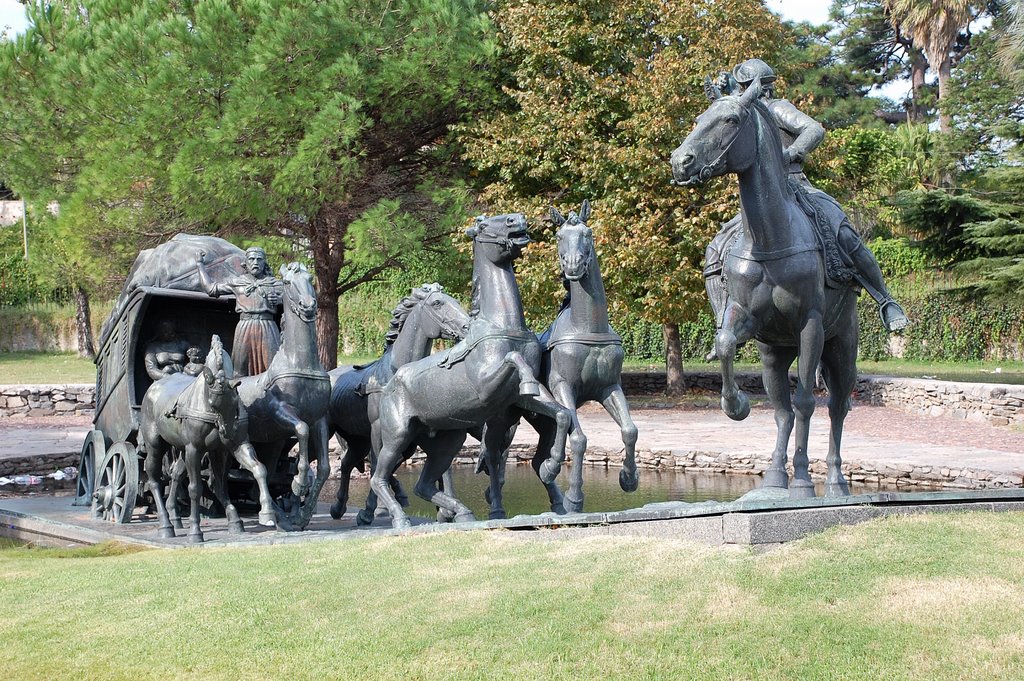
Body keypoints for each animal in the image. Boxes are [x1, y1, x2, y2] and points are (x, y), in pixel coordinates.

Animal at [671, 76, 856, 497]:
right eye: (698, 118)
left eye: (731, 119)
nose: (680, 161)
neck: (771, 238)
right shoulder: (747, 318)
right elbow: (726, 344)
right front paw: (735, 405)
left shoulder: (811, 326)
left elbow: (806, 401)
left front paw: (803, 479)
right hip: (774, 354)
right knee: (782, 409)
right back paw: (774, 475)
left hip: (842, 346)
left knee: (836, 407)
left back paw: (834, 480)